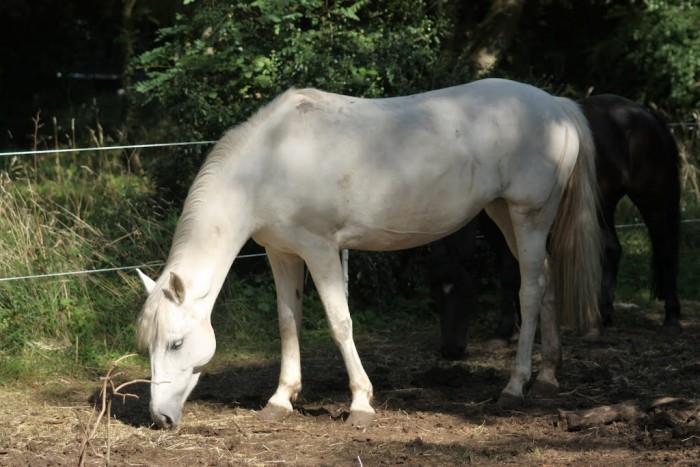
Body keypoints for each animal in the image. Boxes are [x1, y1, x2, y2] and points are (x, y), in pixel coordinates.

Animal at [135, 78, 602, 430]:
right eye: (149, 344)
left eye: (176, 343)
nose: (160, 418)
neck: (270, 162)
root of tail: (557, 106)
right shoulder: (282, 254)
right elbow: (287, 323)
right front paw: (281, 399)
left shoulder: (320, 250)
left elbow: (339, 323)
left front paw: (360, 404)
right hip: (504, 213)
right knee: (545, 279)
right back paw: (547, 378)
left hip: (529, 214)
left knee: (530, 289)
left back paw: (515, 387)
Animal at [432, 93, 681, 358]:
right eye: (435, 289)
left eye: (465, 289)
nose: (450, 350)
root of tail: (648, 116)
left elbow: (510, 273)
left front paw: (505, 332)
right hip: (602, 205)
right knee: (612, 249)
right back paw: (602, 317)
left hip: (652, 199)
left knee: (666, 251)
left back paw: (671, 320)